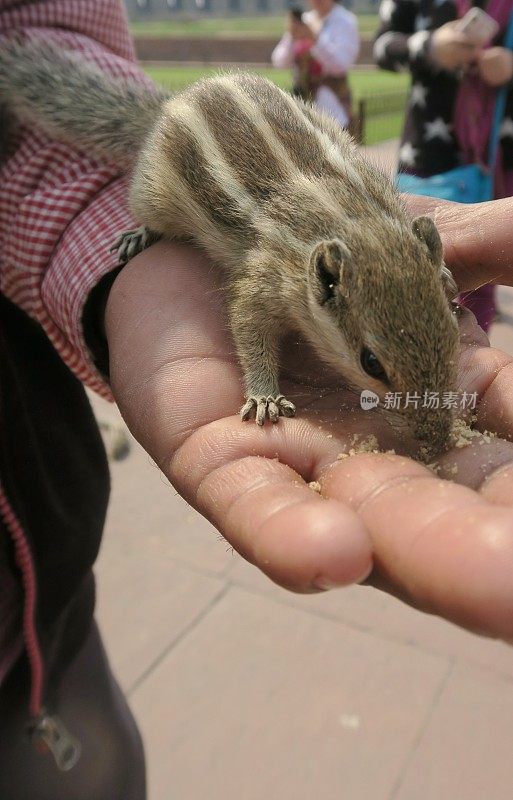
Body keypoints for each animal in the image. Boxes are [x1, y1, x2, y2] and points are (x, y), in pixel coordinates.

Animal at [0, 39, 460, 456]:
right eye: (371, 363)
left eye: (452, 330)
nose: (437, 441)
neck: (348, 220)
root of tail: (169, 103)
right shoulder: (263, 278)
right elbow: (247, 327)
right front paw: (264, 397)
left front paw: (444, 273)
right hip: (152, 191)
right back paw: (141, 234)